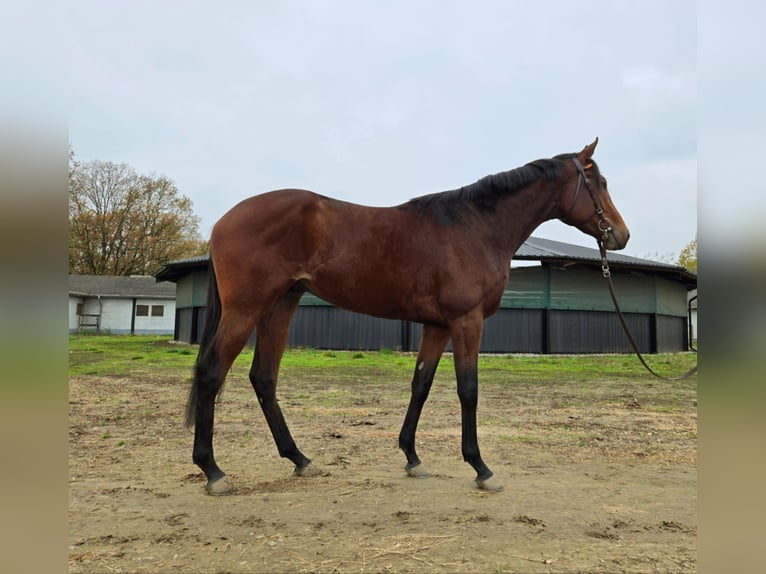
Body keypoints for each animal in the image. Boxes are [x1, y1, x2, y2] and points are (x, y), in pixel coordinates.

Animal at [186, 138, 632, 496]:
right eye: (600, 183)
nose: (621, 235)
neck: (476, 227)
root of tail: (223, 221)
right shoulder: (467, 321)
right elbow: (468, 390)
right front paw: (481, 468)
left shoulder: (436, 326)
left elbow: (421, 385)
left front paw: (412, 458)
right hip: (246, 309)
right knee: (211, 373)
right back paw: (213, 471)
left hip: (280, 305)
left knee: (263, 378)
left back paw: (299, 459)